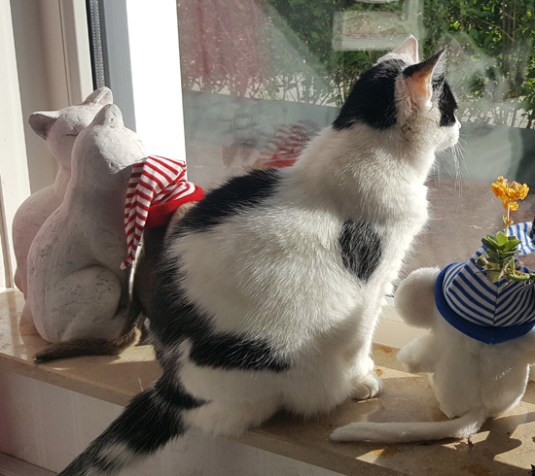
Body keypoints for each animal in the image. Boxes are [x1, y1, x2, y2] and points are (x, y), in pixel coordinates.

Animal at [57, 36, 460, 475]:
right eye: (451, 106)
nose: (461, 125)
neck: (367, 147)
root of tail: (175, 390)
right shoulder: (375, 283)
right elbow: (361, 340)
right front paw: (363, 380)